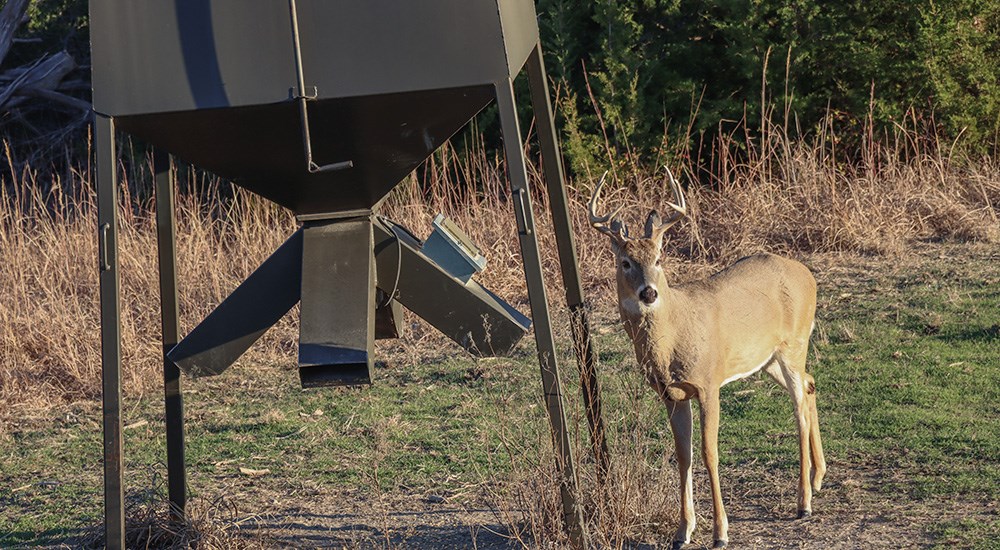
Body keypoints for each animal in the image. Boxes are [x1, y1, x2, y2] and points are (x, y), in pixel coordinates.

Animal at [588, 170, 824, 548]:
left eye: (659, 259)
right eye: (625, 262)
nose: (649, 293)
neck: (674, 337)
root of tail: (807, 273)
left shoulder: (709, 382)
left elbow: (709, 452)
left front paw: (720, 532)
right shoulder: (671, 393)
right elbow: (683, 455)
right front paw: (682, 531)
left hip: (794, 344)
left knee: (799, 406)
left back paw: (803, 502)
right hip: (768, 358)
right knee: (811, 384)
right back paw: (818, 478)